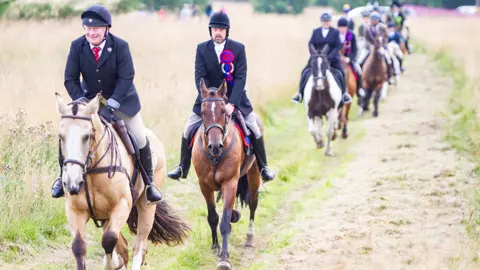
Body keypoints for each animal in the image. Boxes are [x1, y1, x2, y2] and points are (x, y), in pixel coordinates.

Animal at [56, 93, 189, 270]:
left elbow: (108, 240)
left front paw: (111, 264)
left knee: (139, 245)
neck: (91, 170)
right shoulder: (75, 210)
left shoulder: (122, 205)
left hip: (146, 205)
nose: (73, 183)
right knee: (123, 245)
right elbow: (79, 246)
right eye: (61, 137)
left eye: (87, 136)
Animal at [190, 78, 260, 270]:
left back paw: (250, 238)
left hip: (254, 175)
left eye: (223, 111)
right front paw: (215, 247)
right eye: (202, 112)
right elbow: (213, 217)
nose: (215, 146)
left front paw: (224, 259)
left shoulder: (230, 183)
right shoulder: (204, 185)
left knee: (253, 203)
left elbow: (225, 222)